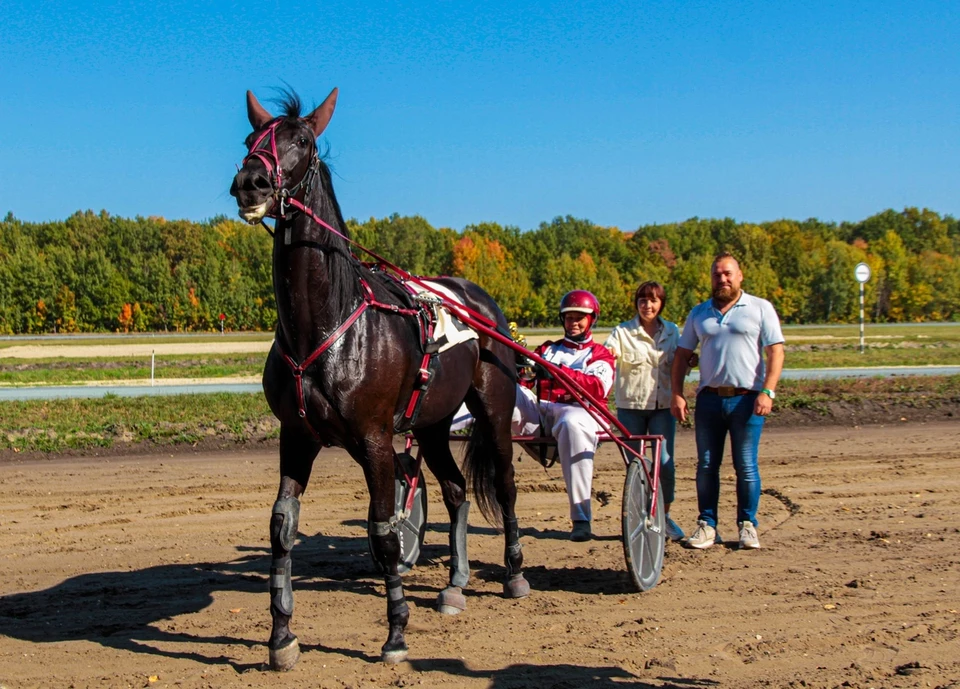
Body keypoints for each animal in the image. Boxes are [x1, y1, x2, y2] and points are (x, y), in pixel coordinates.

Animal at [232, 88, 532, 668]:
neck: (326, 325)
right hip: (433, 423)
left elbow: (385, 530)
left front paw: (395, 634)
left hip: (494, 405)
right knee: (457, 490)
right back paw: (456, 583)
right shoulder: (296, 436)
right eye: (250, 138)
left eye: (303, 141)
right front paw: (281, 636)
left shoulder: (373, 439)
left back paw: (514, 573)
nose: (251, 181)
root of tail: (480, 300)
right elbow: (282, 526)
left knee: (504, 484)